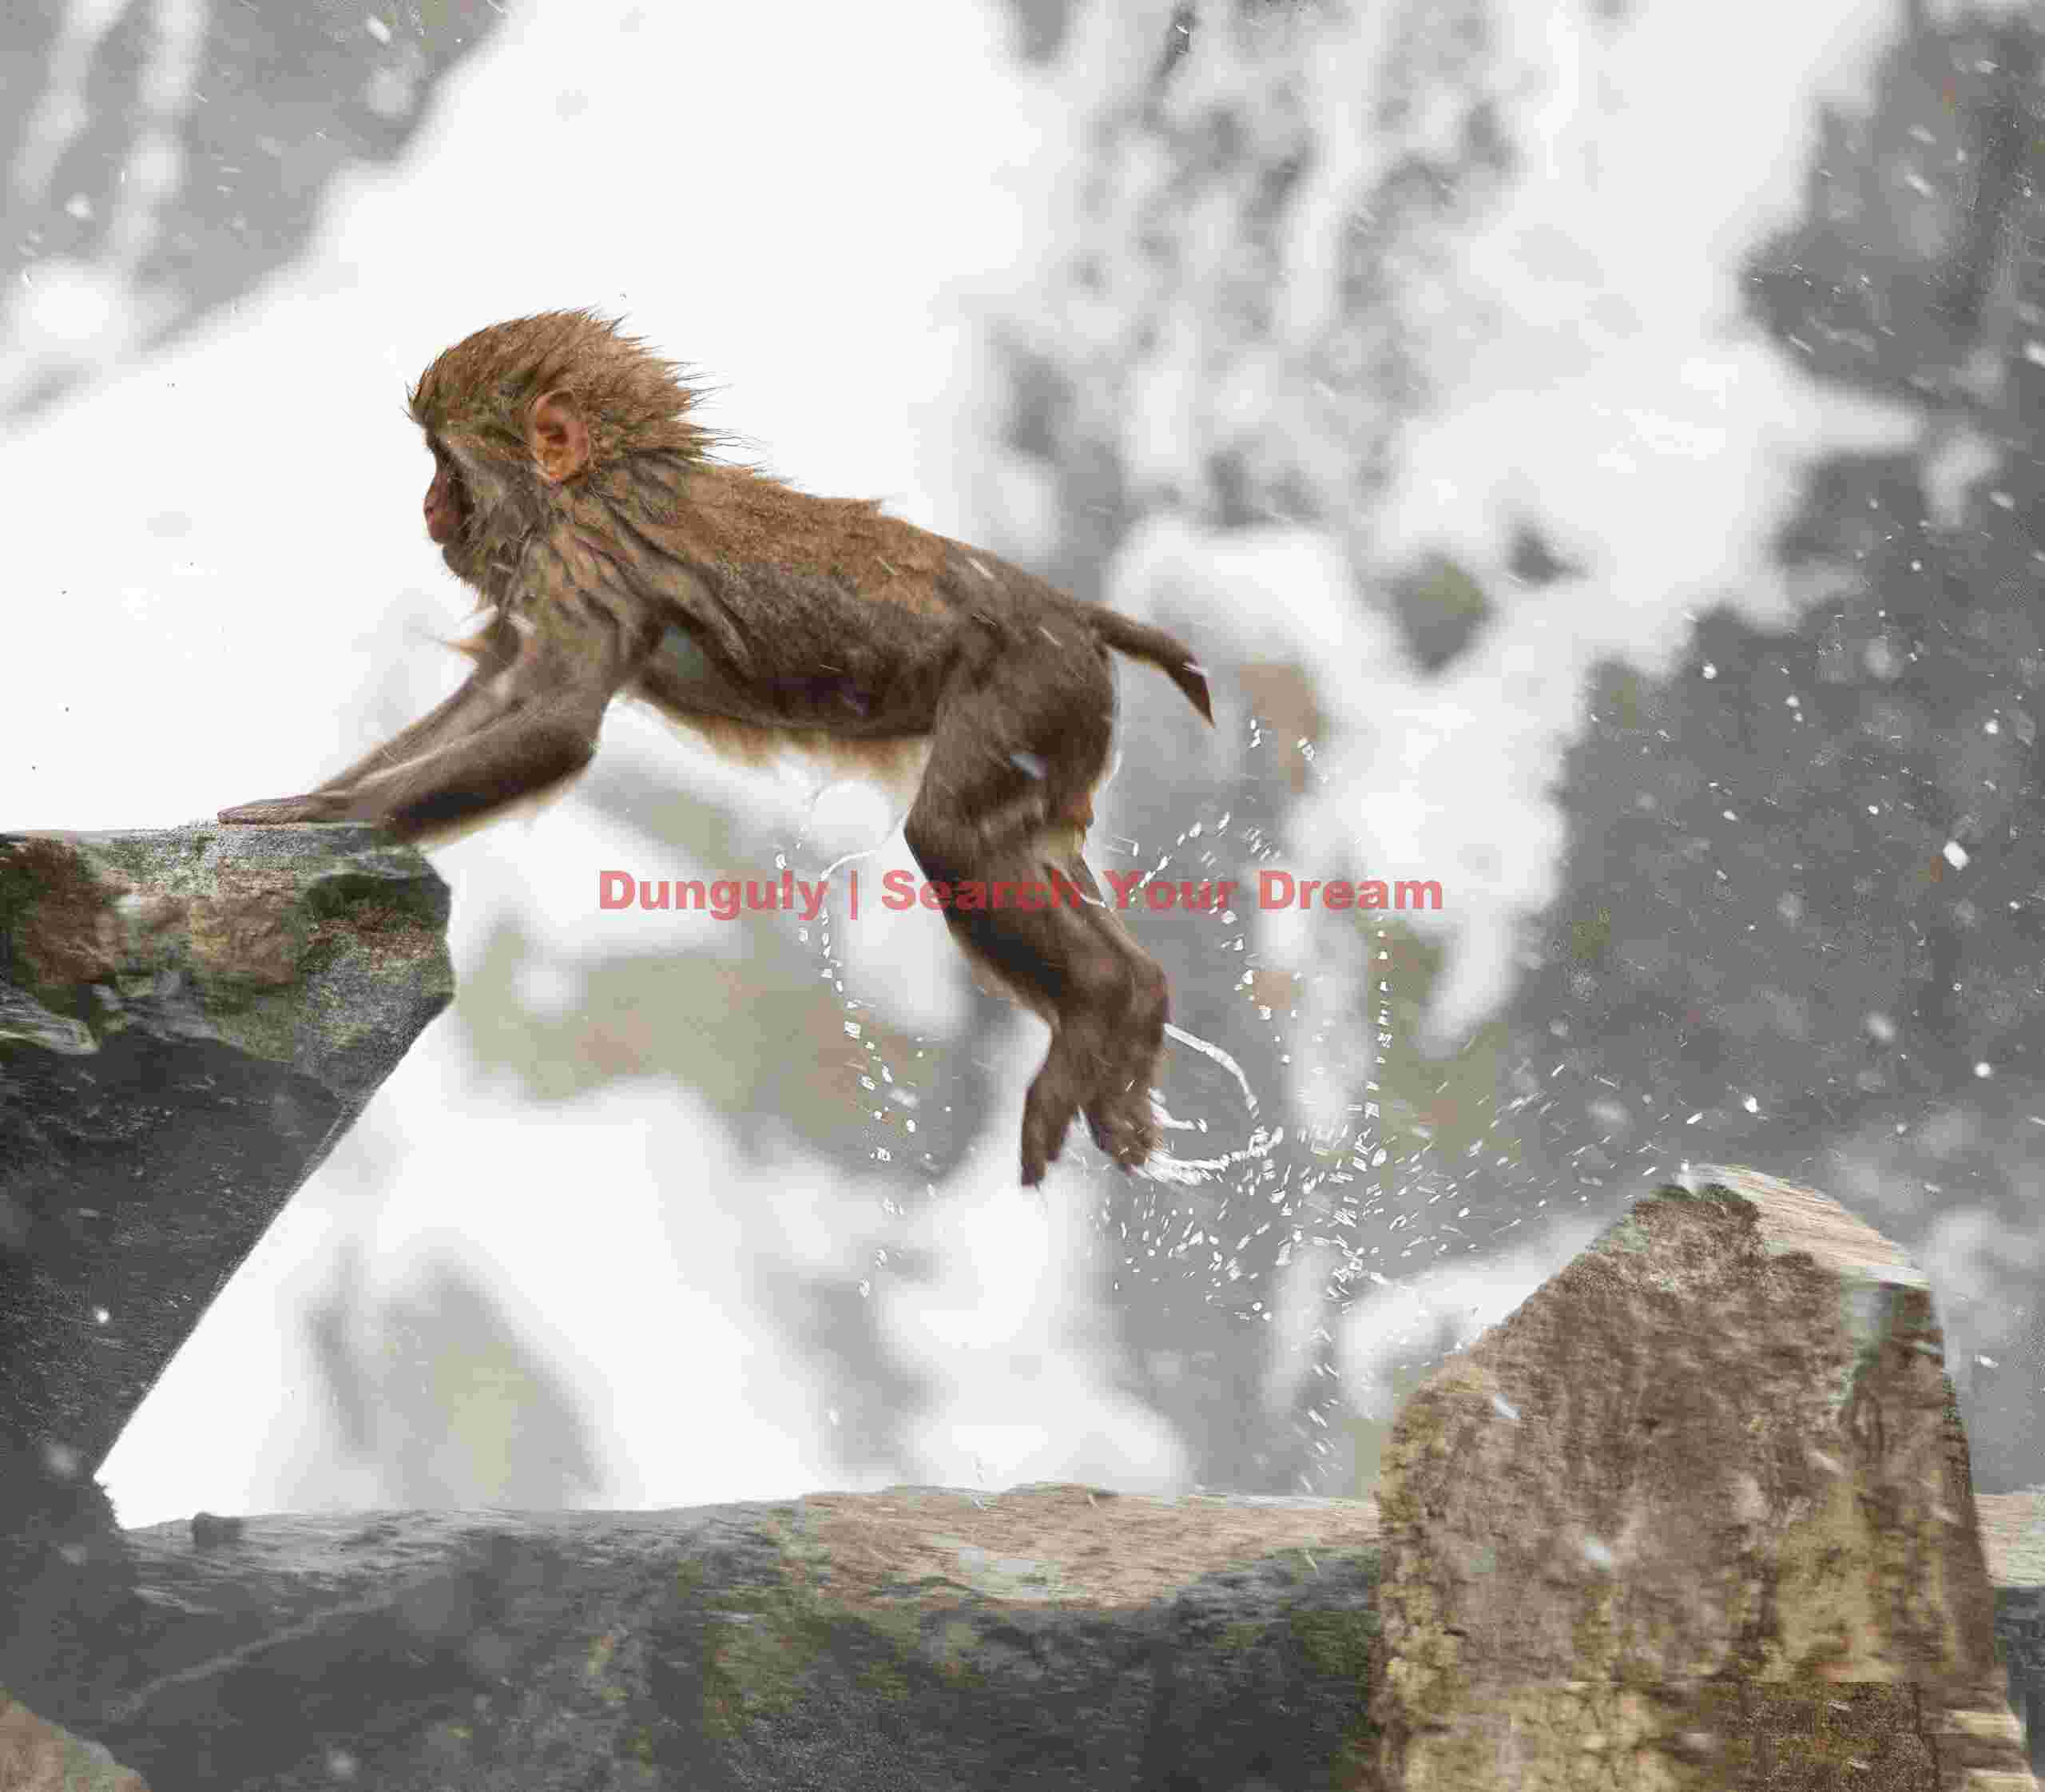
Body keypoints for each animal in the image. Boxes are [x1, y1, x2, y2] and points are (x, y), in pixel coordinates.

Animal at [219, 311, 1212, 1186]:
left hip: (1027, 693)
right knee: (1028, 846)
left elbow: (555, 723)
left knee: (954, 837)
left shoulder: (581, 559)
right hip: (1063, 726)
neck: (595, 485)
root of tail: (1073, 613)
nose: (426, 504)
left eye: (444, 462)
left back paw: (1103, 1006)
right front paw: (312, 797)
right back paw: (1137, 1007)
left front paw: (327, 811)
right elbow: (498, 691)